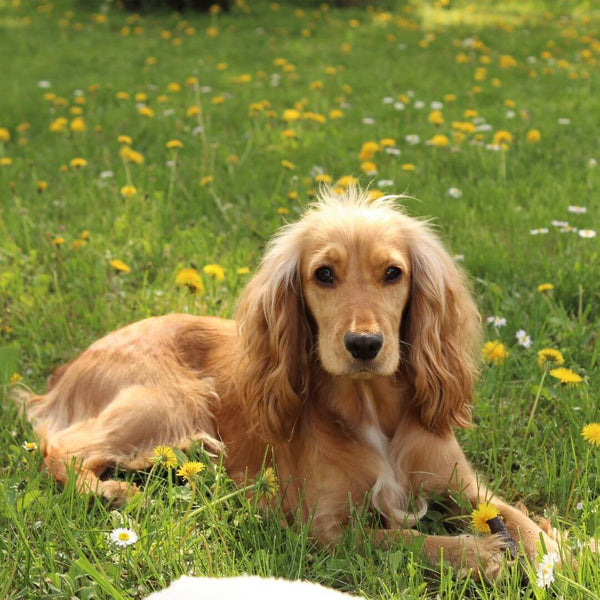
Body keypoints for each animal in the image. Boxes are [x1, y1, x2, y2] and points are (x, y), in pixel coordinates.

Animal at [25, 188, 564, 576]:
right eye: (323, 274)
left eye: (393, 273)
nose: (364, 344)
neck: (371, 409)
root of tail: (69, 368)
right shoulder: (323, 528)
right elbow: (405, 539)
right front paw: (478, 554)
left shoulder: (462, 484)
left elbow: (514, 515)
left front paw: (557, 550)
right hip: (167, 400)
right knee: (63, 450)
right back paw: (114, 492)